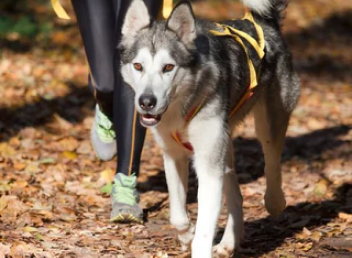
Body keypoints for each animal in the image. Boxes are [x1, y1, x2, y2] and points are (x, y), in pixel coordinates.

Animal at [119, 0, 300, 256]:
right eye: (138, 66)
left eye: (168, 67)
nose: (146, 101)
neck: (181, 106)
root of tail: (263, 22)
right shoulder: (174, 156)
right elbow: (177, 216)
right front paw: (186, 237)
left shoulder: (208, 167)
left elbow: (204, 231)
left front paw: (197, 243)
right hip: (223, 146)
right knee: (236, 195)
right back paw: (228, 244)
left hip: (267, 125)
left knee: (272, 163)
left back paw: (275, 202)